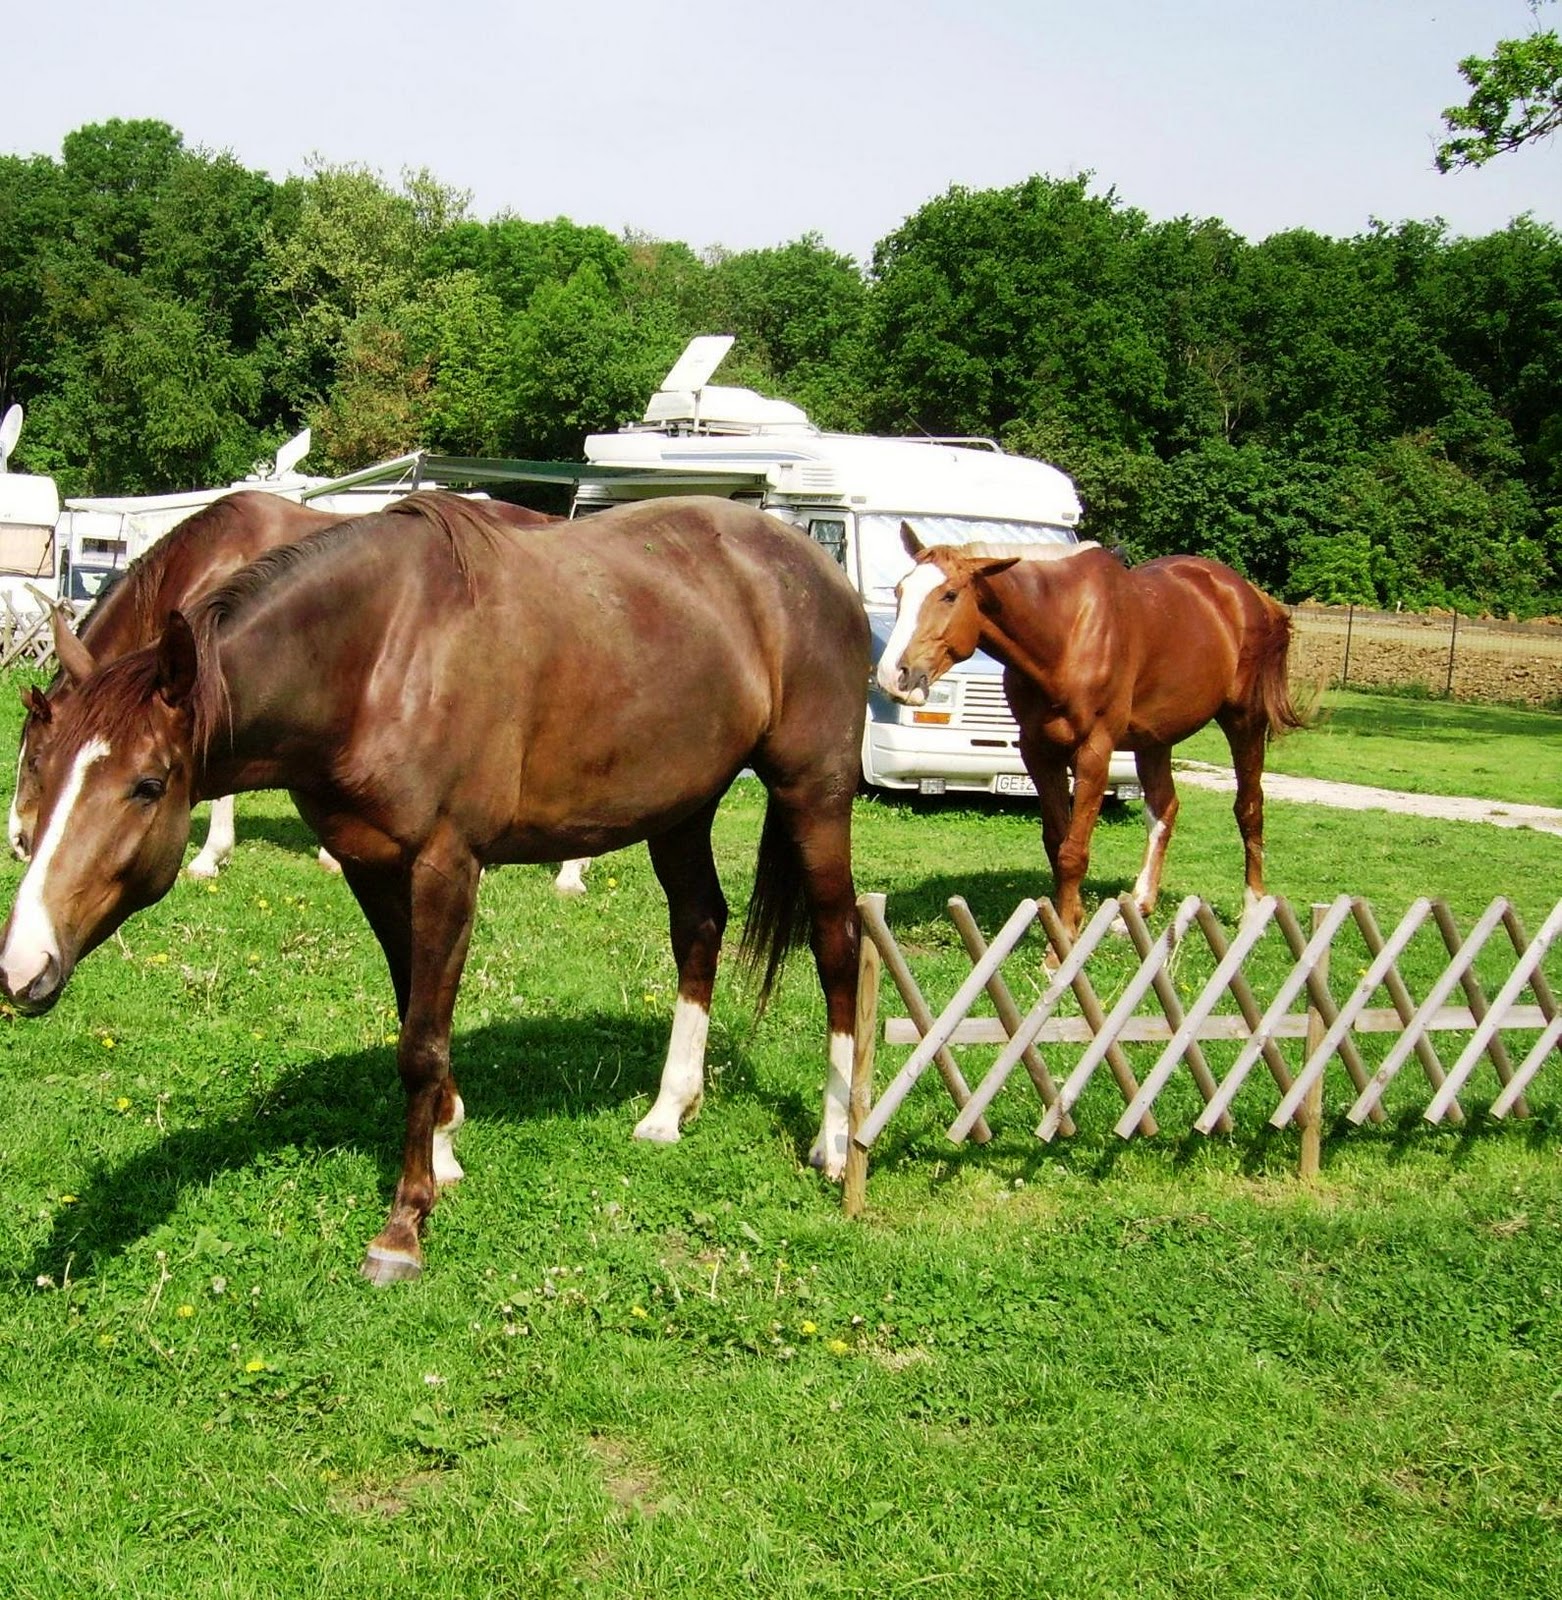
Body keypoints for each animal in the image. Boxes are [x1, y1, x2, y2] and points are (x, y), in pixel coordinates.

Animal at [877, 522, 1306, 937]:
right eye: (899, 590)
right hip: (1155, 738)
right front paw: (1066, 921)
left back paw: (1253, 911)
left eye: (949, 595)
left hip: (1244, 721)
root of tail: (1251, 596)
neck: (1066, 633)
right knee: (1164, 808)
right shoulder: (1038, 750)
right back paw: (1138, 907)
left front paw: (1063, 942)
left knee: (1249, 807)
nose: (894, 675)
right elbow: (1056, 841)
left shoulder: (1094, 751)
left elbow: (1073, 851)